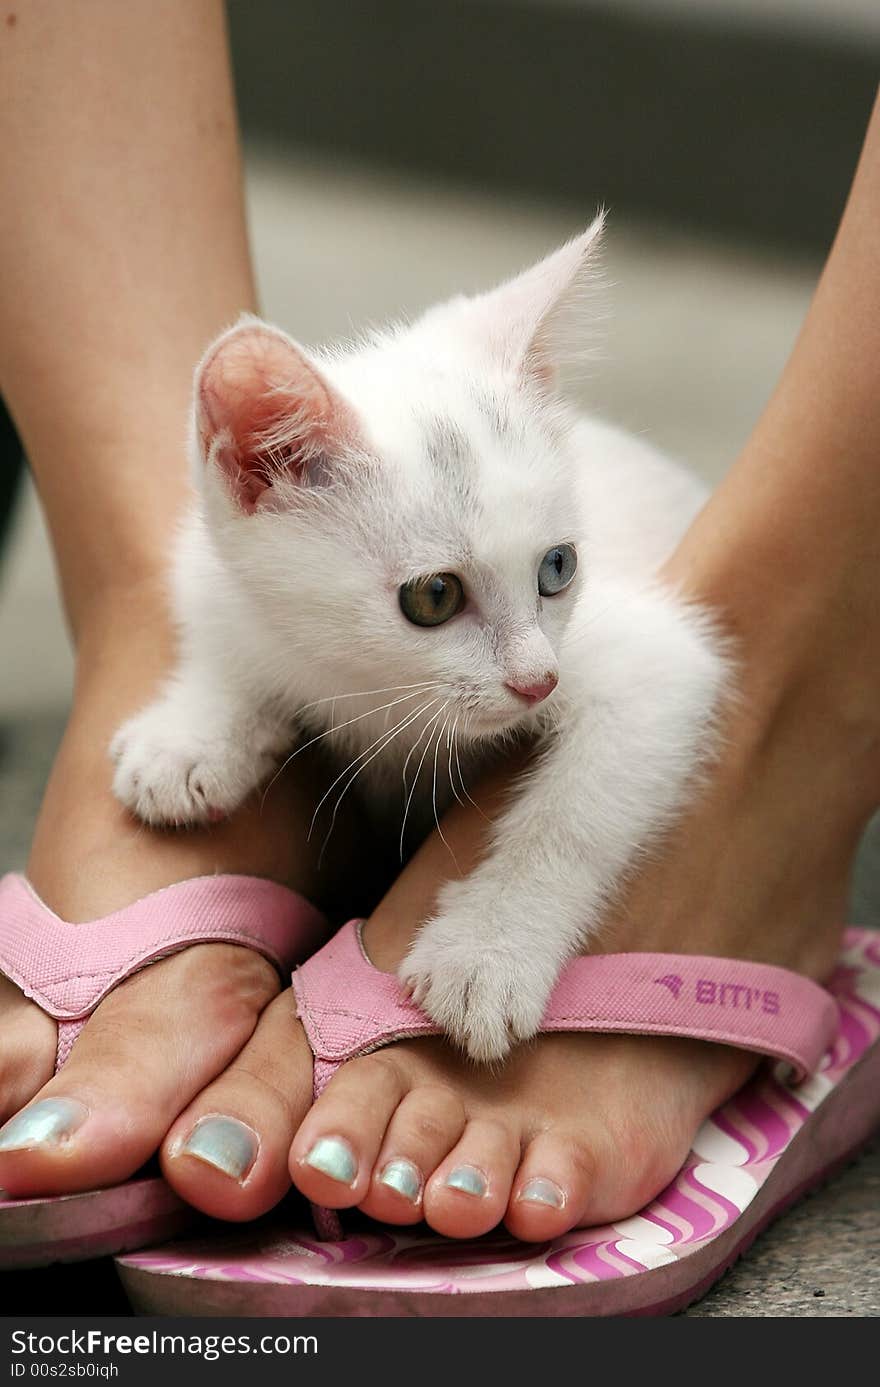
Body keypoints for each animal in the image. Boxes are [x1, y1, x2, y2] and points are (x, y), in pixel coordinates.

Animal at [111, 219, 727, 1059]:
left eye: (558, 567)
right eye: (434, 596)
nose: (539, 681)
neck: (370, 682)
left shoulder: (652, 666)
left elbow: (574, 814)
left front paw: (489, 950)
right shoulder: (211, 572)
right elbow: (226, 639)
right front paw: (191, 734)